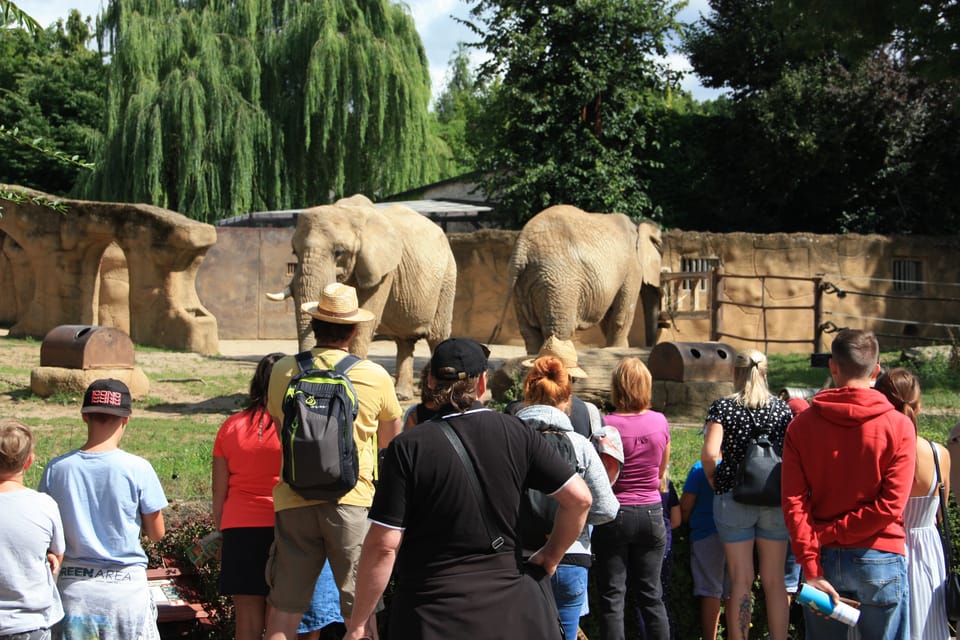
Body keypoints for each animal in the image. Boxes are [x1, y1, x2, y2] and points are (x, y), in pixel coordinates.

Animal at [264, 194, 456, 400]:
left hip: (447, 277)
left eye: (339, 252)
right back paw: (402, 396)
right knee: (404, 340)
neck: (349, 213)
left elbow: (365, 321)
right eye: (294, 251)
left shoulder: (382, 271)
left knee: (437, 336)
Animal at [510, 205, 660, 356]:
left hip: (523, 284)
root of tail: (522, 248)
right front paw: (619, 349)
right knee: (559, 330)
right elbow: (622, 314)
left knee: (530, 331)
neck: (637, 224)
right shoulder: (632, 266)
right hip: (558, 282)